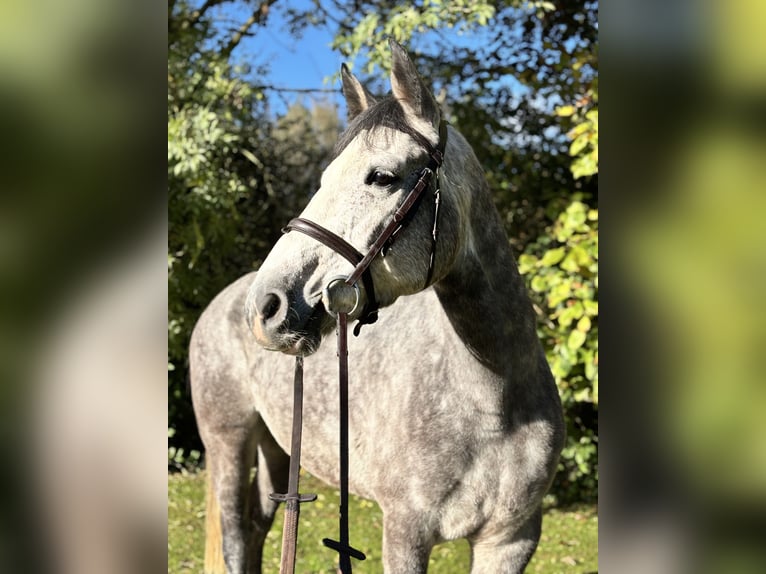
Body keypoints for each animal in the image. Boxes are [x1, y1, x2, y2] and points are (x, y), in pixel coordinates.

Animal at [190, 40, 565, 574]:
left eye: (383, 177)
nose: (267, 307)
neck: (496, 401)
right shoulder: (406, 533)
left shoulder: (511, 541)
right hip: (228, 442)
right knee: (237, 539)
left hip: (277, 449)